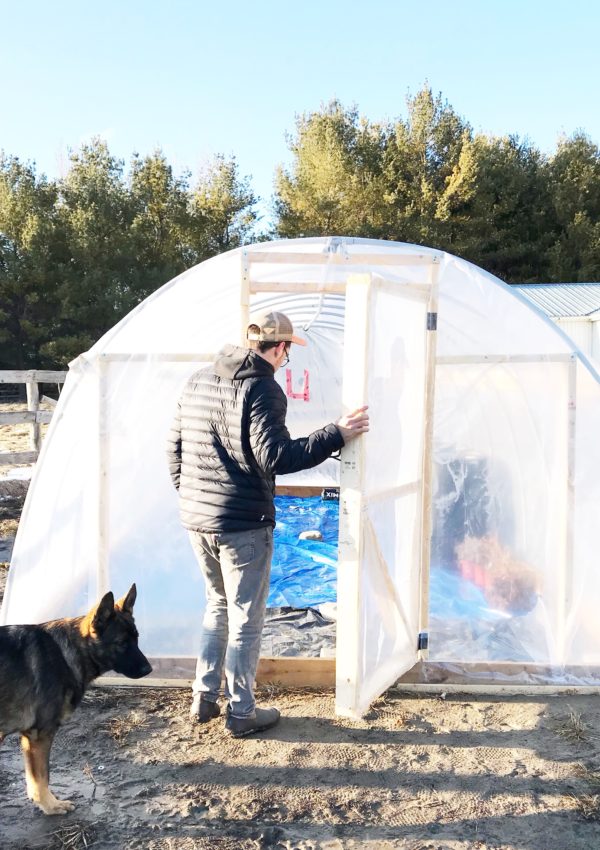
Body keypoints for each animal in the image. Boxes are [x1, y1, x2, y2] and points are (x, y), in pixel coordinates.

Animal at [0, 580, 152, 812]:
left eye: (136, 639)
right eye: (122, 643)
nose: (149, 669)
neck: (69, 651)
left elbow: (36, 777)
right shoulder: (39, 735)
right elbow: (41, 777)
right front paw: (50, 805)